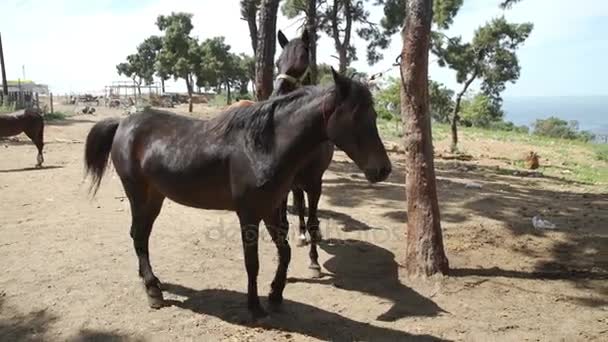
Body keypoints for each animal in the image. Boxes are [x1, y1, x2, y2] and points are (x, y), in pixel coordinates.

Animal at [83, 70, 392, 320]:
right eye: (355, 116)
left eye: (375, 116)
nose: (383, 170)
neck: (261, 147)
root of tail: (123, 124)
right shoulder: (249, 215)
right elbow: (252, 263)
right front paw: (255, 307)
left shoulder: (271, 209)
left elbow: (285, 252)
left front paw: (276, 295)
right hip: (138, 193)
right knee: (138, 235)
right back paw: (152, 291)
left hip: (155, 197)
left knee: (141, 235)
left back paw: (153, 282)